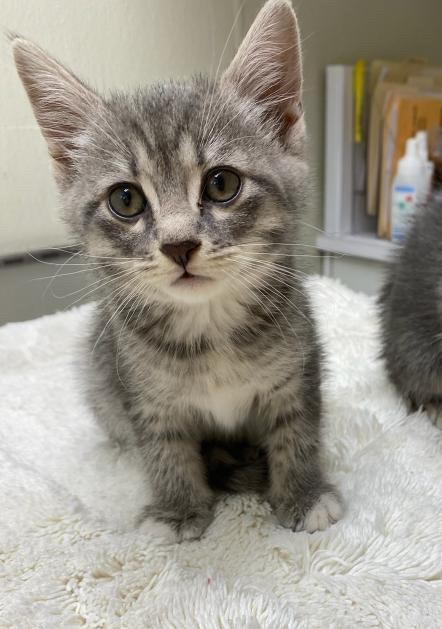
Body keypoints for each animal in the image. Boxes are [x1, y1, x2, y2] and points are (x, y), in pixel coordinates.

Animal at [12, 0, 342, 541]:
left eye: (222, 184)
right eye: (125, 199)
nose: (179, 244)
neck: (209, 328)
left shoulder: (299, 365)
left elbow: (298, 430)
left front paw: (303, 493)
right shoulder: (143, 393)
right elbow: (164, 450)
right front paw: (177, 510)